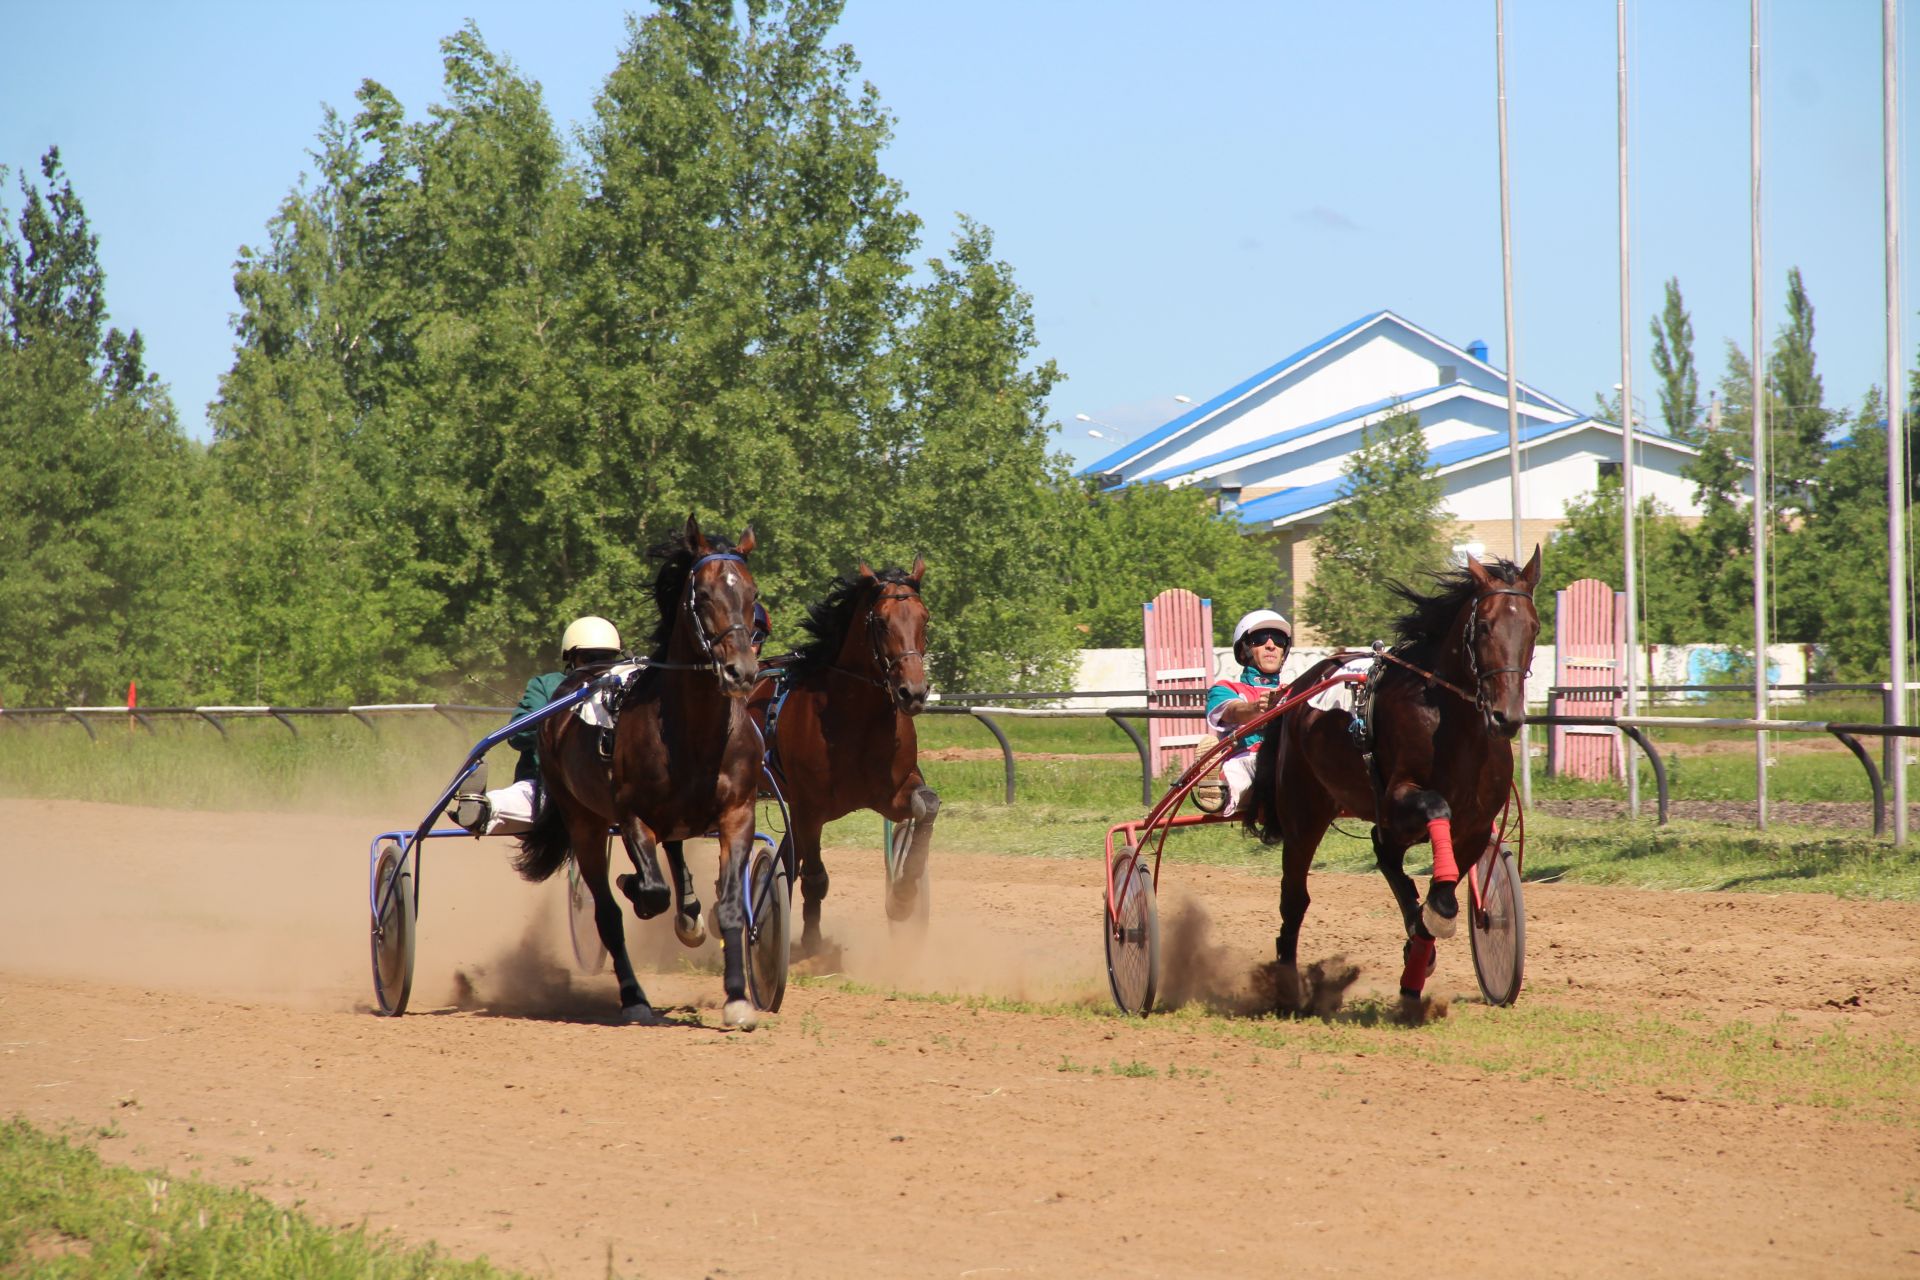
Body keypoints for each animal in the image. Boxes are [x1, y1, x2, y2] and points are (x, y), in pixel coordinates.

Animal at [514, 514, 760, 1028]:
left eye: (753, 593)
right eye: (703, 595)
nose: (741, 671)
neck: (694, 732)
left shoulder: (737, 814)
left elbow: (729, 905)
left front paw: (737, 998)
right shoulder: (630, 817)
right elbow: (648, 892)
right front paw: (634, 886)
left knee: (676, 856)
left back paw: (689, 915)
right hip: (583, 821)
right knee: (609, 912)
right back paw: (634, 996)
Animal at [744, 556, 933, 955]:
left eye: (924, 618)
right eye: (881, 621)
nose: (913, 692)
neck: (853, 718)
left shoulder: (893, 793)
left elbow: (927, 805)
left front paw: (904, 895)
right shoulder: (810, 806)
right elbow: (814, 877)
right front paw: (812, 943)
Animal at [1244, 548, 1543, 997]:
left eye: (1533, 627)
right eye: (1484, 625)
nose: (1504, 717)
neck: (1453, 726)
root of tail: (1296, 690)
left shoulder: (1474, 827)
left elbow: (1438, 895)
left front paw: (1419, 953)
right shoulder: (1399, 796)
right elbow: (1436, 812)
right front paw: (1432, 919)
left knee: (1384, 854)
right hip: (1303, 811)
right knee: (1295, 899)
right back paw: (1288, 988)